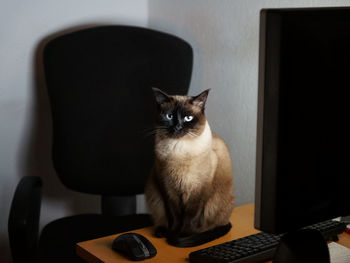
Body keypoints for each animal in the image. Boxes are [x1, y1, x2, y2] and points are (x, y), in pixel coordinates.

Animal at [145, 88, 235, 239]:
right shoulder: (168, 189)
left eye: (188, 118)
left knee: (211, 224)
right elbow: (174, 215)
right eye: (169, 116)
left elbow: (190, 216)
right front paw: (173, 232)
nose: (177, 126)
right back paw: (163, 232)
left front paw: (183, 234)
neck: (178, 150)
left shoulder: (198, 189)